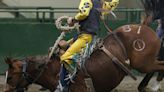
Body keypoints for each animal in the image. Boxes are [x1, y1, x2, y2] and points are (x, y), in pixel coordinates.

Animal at [4, 24, 164, 91]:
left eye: (10, 77)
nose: (6, 91)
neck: (53, 71)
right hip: (146, 63)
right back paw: (144, 86)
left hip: (143, 63)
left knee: (160, 66)